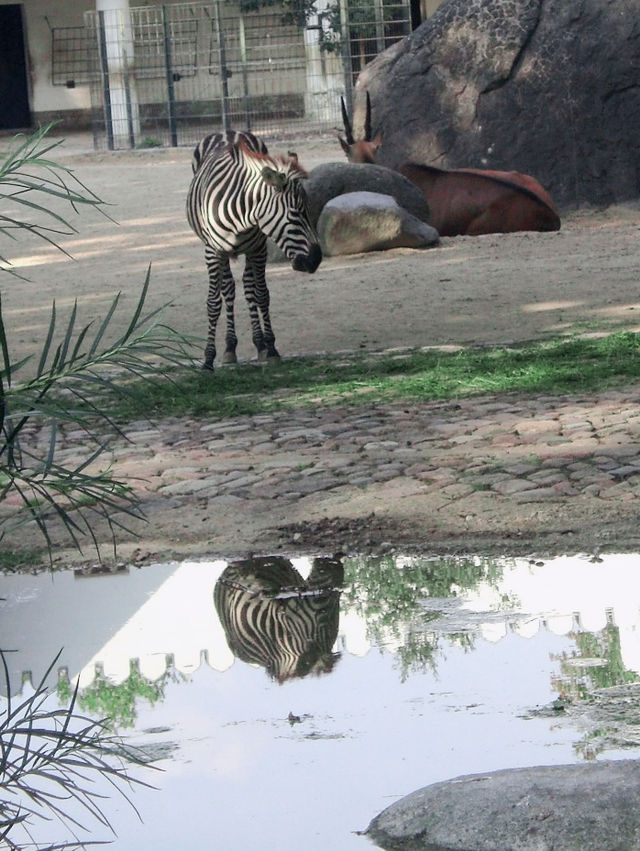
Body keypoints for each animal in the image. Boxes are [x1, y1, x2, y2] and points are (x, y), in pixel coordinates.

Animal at [188, 131, 322, 368]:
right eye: (295, 214)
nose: (317, 259)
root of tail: (226, 131)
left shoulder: (258, 249)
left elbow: (261, 294)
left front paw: (271, 347)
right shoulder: (213, 252)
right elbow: (213, 302)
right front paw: (208, 359)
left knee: (248, 286)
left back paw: (259, 343)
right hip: (222, 253)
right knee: (229, 289)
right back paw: (230, 347)